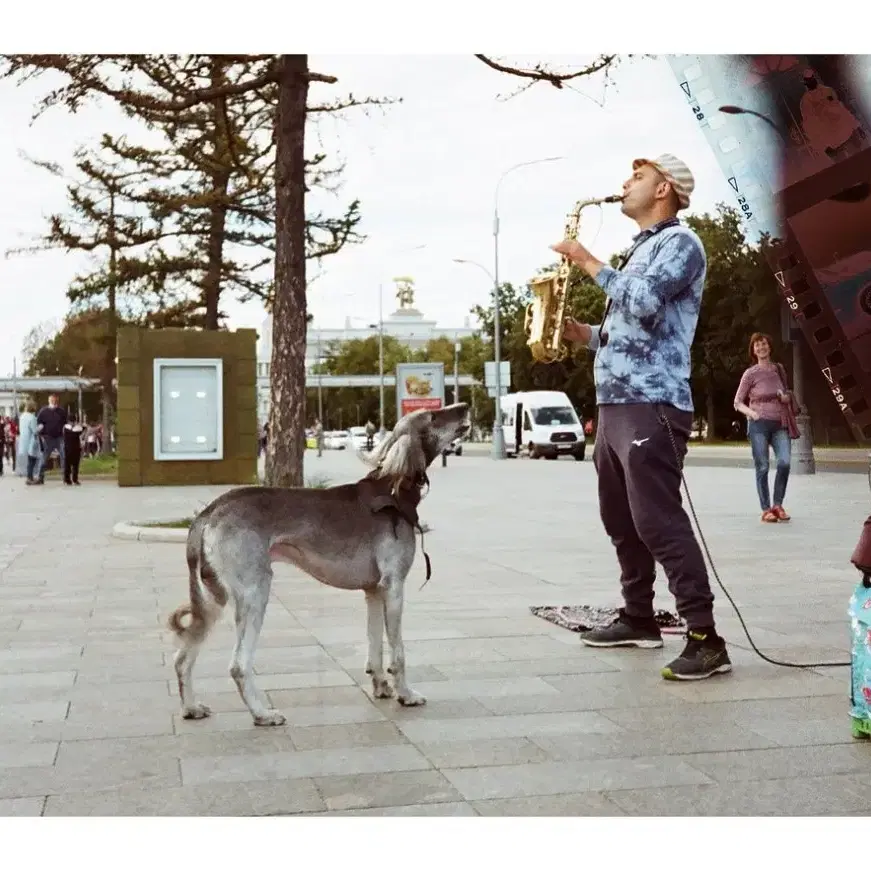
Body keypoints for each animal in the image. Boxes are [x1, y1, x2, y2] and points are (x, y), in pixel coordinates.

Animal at [169, 406, 470, 724]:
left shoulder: (374, 592)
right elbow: (398, 651)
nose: (464, 407)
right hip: (255, 591)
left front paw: (380, 687)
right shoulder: (394, 586)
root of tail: (209, 511)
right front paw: (406, 694)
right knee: (238, 664)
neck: (392, 491)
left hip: (213, 596)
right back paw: (262, 713)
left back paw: (191, 707)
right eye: (434, 416)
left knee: (182, 657)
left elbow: (375, 647)